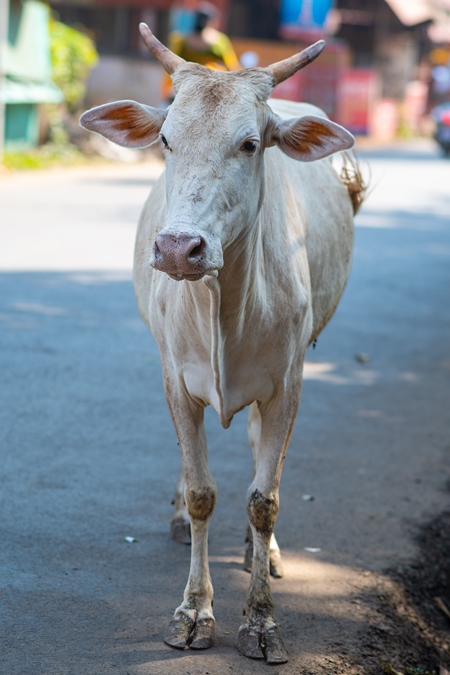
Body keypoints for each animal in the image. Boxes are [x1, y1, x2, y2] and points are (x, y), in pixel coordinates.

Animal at [80, 25, 362, 664]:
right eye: (165, 138)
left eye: (251, 144)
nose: (178, 249)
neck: (222, 301)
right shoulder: (176, 381)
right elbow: (203, 490)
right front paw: (192, 612)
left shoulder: (288, 383)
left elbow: (264, 498)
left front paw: (260, 620)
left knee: (263, 460)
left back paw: (268, 552)